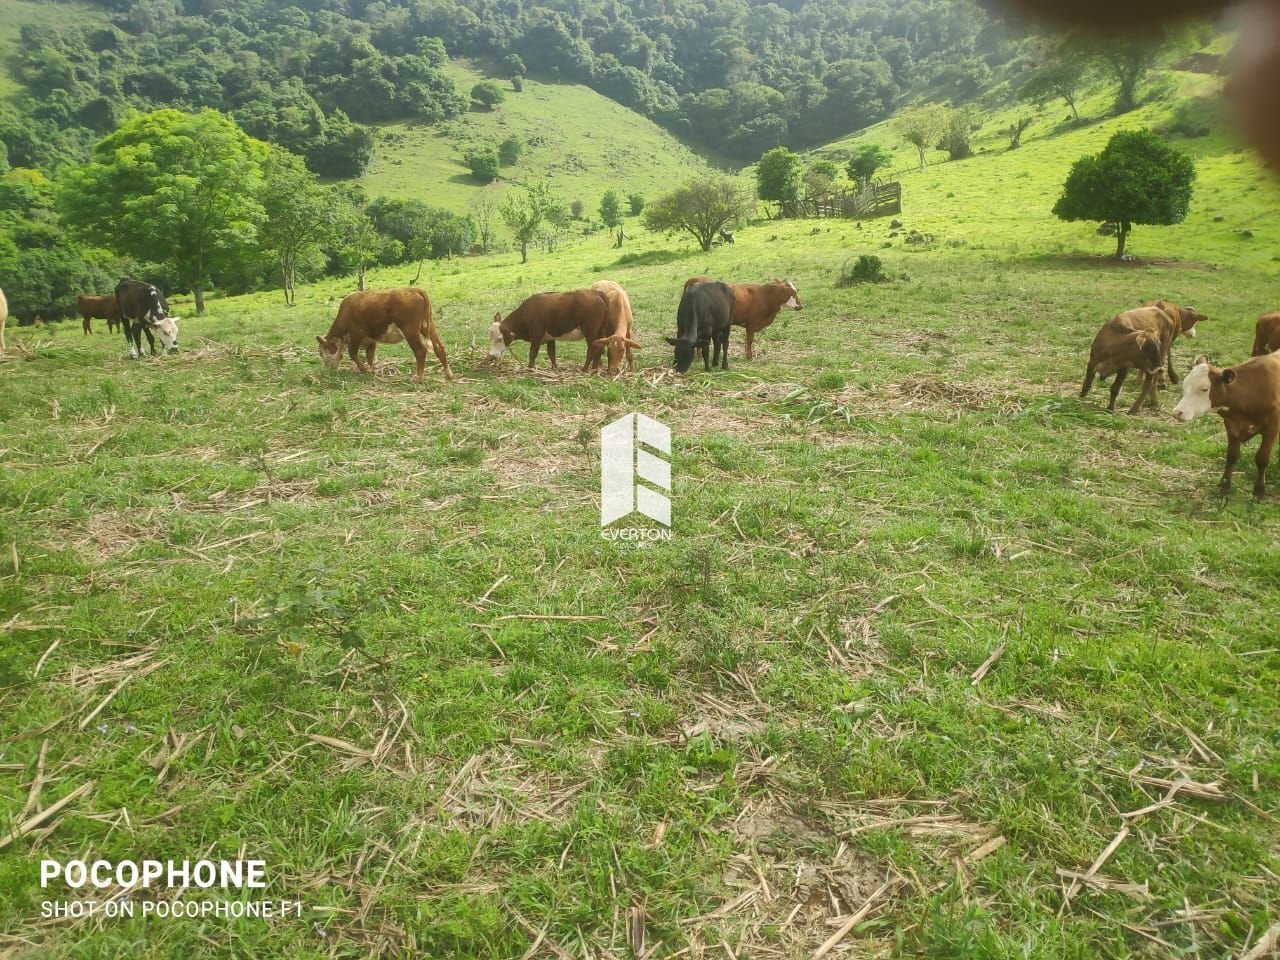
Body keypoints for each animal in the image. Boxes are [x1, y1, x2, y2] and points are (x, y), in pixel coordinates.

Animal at [316, 285, 453, 384]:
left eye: (321, 353)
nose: (328, 370)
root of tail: (415, 289)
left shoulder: (356, 334)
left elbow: (353, 353)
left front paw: (365, 370)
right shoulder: (371, 339)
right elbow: (370, 356)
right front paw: (372, 371)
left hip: (410, 331)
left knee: (420, 351)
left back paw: (418, 378)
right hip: (429, 326)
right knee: (440, 348)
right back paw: (448, 375)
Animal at [1172, 355, 1280, 504]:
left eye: (1204, 389)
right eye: (1185, 385)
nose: (1177, 412)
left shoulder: (1272, 428)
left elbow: (1262, 459)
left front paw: (1259, 491)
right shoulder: (1232, 426)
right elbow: (1232, 456)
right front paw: (1224, 485)